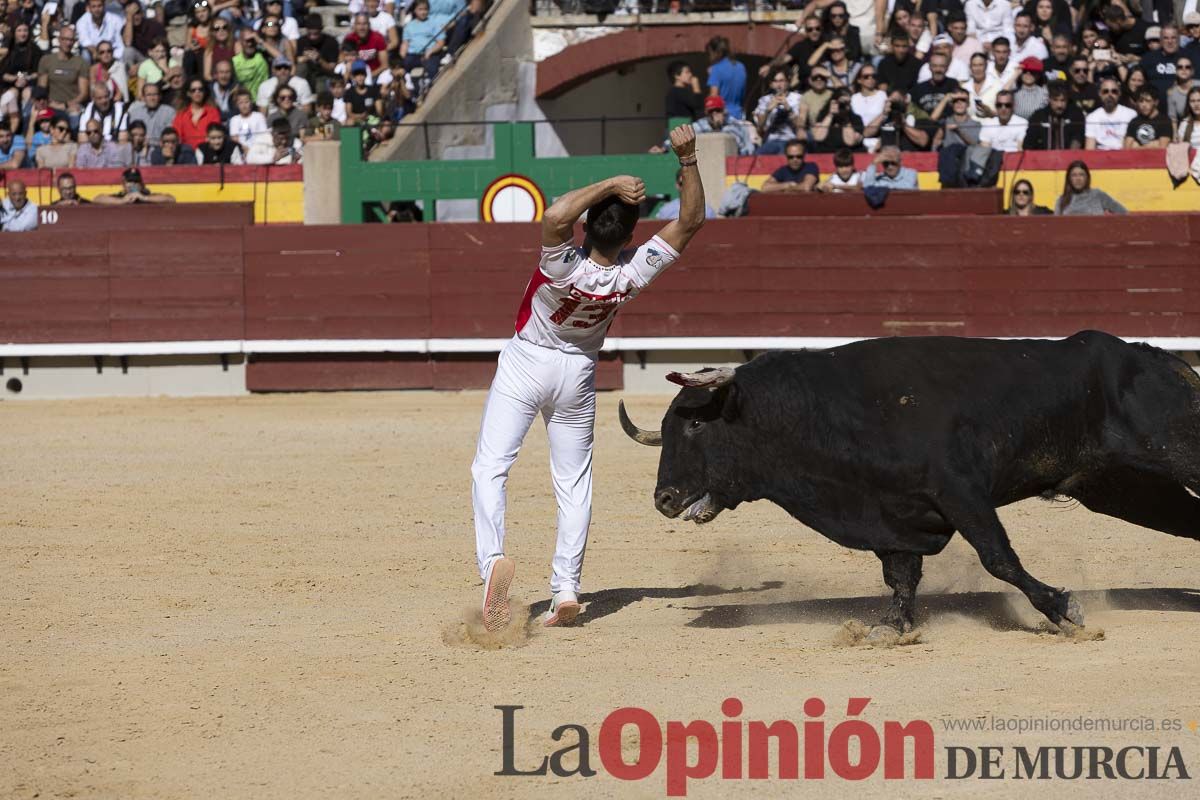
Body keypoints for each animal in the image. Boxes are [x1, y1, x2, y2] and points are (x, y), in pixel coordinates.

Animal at [619, 331, 1200, 633]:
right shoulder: (893, 515)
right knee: (1191, 525)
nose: (664, 499)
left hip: (1175, 453)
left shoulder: (961, 493)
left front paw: (1063, 609)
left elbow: (999, 558)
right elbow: (900, 577)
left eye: (696, 424)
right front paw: (890, 628)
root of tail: (1158, 358)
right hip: (1122, 488)